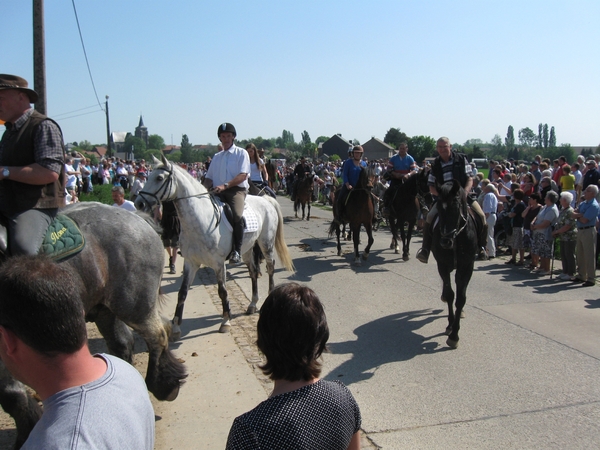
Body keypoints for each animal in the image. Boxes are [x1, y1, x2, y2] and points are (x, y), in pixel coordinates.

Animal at [137, 155, 296, 338]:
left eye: (159, 178)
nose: (139, 203)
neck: (200, 220)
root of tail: (265, 200)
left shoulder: (218, 264)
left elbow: (222, 291)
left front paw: (226, 321)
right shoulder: (191, 263)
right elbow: (182, 292)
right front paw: (176, 326)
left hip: (266, 243)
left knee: (270, 267)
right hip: (248, 249)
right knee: (253, 272)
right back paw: (252, 304)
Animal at [432, 179, 478, 348]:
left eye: (456, 207)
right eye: (439, 207)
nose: (445, 242)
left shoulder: (467, 267)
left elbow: (461, 299)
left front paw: (455, 334)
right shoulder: (442, 265)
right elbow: (451, 295)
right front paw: (450, 327)